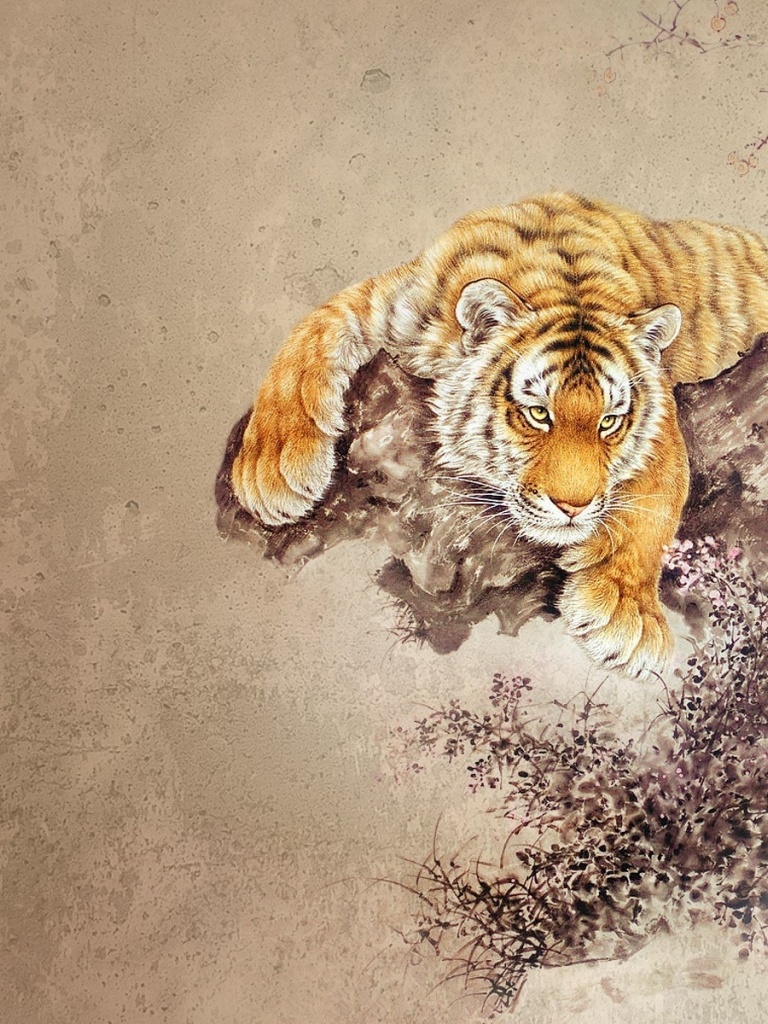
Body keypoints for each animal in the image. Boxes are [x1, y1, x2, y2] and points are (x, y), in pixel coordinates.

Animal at [229, 192, 768, 679]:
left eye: (609, 423)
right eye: (538, 414)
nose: (573, 507)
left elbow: (656, 500)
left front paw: (625, 614)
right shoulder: (388, 301)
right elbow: (307, 337)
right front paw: (268, 472)